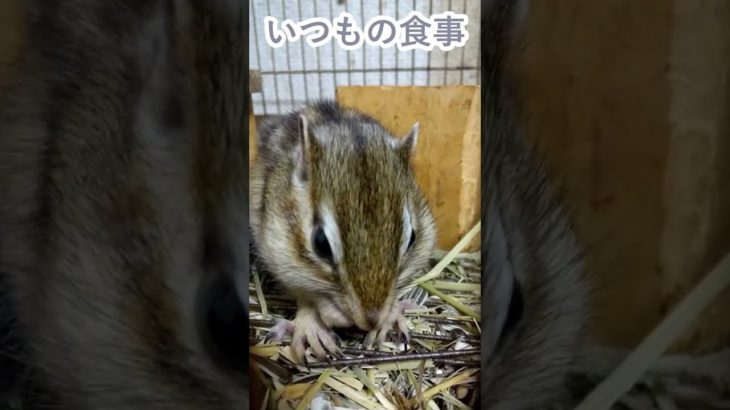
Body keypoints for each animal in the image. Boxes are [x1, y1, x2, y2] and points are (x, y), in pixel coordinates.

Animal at [249, 100, 437, 362]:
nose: (371, 319)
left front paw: (390, 317)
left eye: (412, 238)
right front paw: (318, 324)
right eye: (320, 243)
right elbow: (307, 299)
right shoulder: (280, 259)